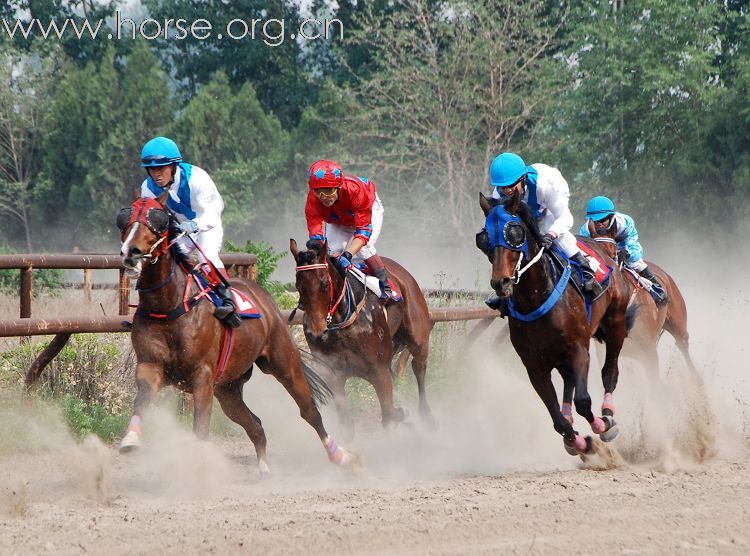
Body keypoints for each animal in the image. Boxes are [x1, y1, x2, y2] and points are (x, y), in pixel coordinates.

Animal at [116, 198, 356, 476]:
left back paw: (341, 456)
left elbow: (201, 428)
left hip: (284, 364)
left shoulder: (202, 376)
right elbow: (142, 398)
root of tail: (265, 300)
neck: (169, 307)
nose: (131, 252)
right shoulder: (150, 365)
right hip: (228, 389)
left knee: (310, 411)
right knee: (255, 424)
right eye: (125, 220)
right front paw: (130, 440)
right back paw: (264, 467)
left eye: (157, 222)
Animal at [290, 239, 438, 438]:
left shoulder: (379, 371)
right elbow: (347, 426)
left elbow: (389, 416)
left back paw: (427, 415)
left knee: (419, 366)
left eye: (324, 284)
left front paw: (403, 415)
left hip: (418, 336)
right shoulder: (333, 375)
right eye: (299, 286)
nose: (316, 332)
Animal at [478, 193, 632, 454]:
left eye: (514, 233)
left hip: (616, 324)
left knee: (609, 371)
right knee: (569, 381)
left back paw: (607, 413)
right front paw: (578, 442)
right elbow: (557, 420)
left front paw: (601, 426)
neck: (536, 297)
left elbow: (583, 400)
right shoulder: (534, 366)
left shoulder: (579, 349)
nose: (501, 282)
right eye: (484, 238)